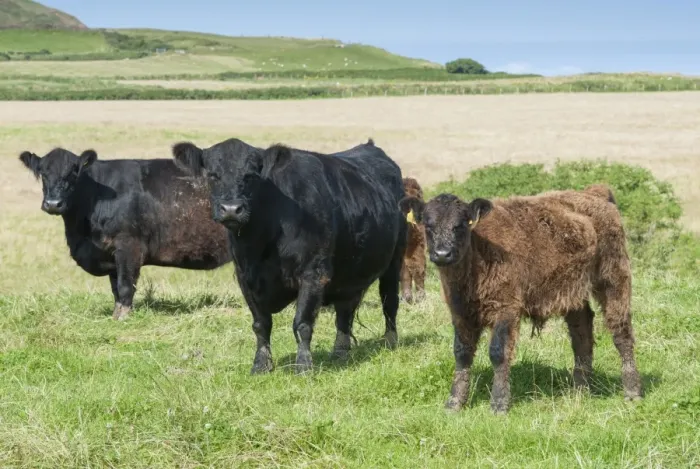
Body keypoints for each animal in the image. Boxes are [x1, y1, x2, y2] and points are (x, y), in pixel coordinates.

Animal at [19, 148, 232, 320]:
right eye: (43, 173)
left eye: (73, 173)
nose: (53, 204)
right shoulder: (111, 255)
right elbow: (115, 289)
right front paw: (116, 316)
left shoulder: (129, 246)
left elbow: (125, 286)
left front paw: (123, 318)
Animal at [172, 137, 407, 374]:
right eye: (212, 175)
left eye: (251, 175)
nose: (231, 209)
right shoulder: (245, 277)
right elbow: (260, 324)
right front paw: (261, 365)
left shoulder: (314, 273)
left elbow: (302, 323)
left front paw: (303, 366)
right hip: (348, 273)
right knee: (344, 312)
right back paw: (340, 353)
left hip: (394, 262)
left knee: (389, 302)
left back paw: (390, 342)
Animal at [399, 184, 643, 414]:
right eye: (428, 225)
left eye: (460, 225)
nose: (442, 254)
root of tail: (594, 193)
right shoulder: (460, 313)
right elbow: (462, 353)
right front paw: (454, 403)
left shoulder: (506, 309)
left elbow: (498, 353)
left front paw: (499, 404)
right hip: (572, 291)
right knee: (581, 331)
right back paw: (580, 391)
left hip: (613, 277)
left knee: (621, 331)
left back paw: (632, 392)